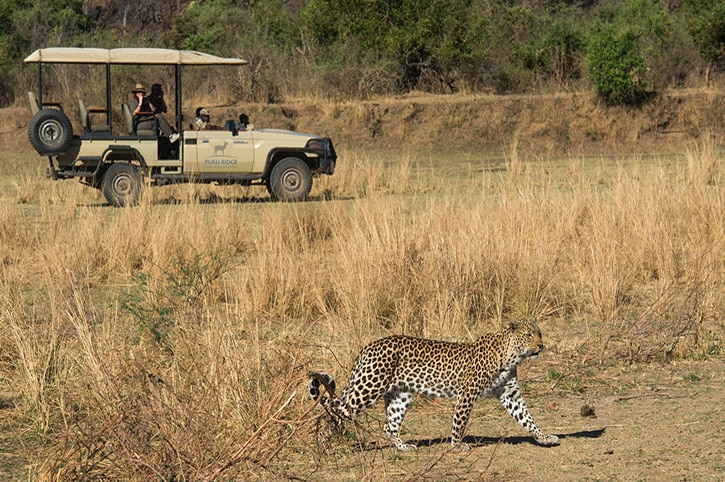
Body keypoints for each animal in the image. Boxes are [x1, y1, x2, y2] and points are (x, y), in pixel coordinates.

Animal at [308, 319, 560, 452]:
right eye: (528, 335)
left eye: (539, 333)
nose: (541, 346)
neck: (511, 356)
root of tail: (368, 347)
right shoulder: (468, 393)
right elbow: (460, 421)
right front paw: (457, 446)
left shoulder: (510, 394)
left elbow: (527, 418)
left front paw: (544, 437)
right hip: (369, 387)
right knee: (334, 411)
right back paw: (322, 444)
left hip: (400, 395)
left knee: (388, 426)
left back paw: (404, 447)